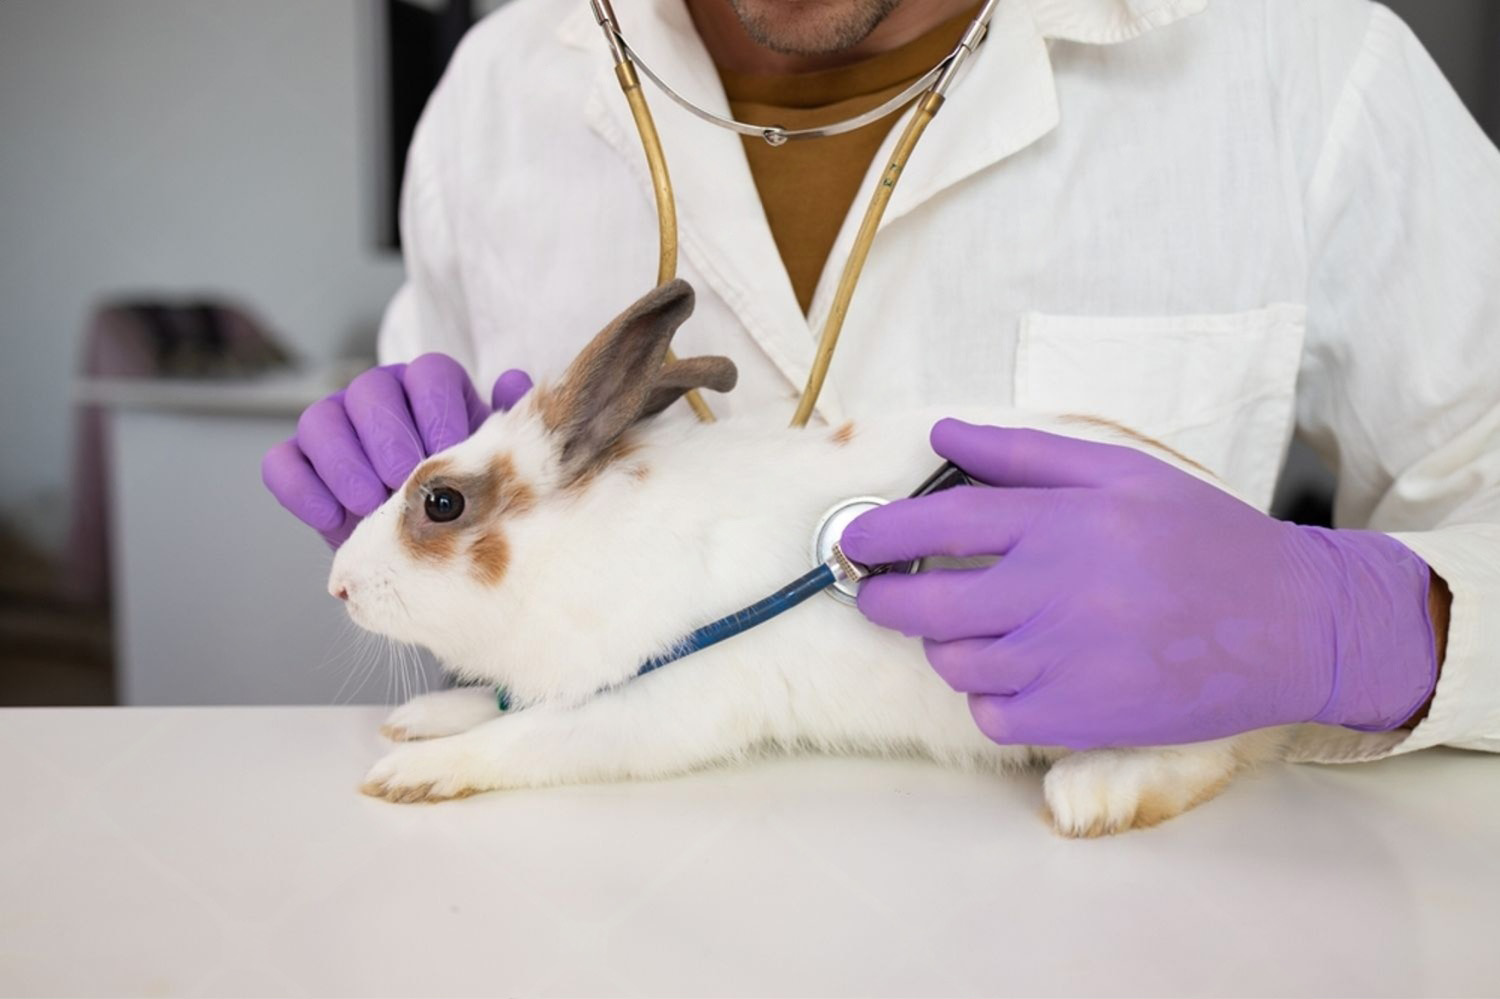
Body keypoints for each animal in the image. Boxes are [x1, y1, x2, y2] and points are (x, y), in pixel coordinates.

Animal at [329, 279, 1287, 837]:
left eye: (442, 503)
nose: (337, 585)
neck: (579, 542)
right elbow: (492, 709)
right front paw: (422, 720)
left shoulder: (649, 705)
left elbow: (520, 740)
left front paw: (410, 772)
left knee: (1203, 758)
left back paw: (1092, 794)